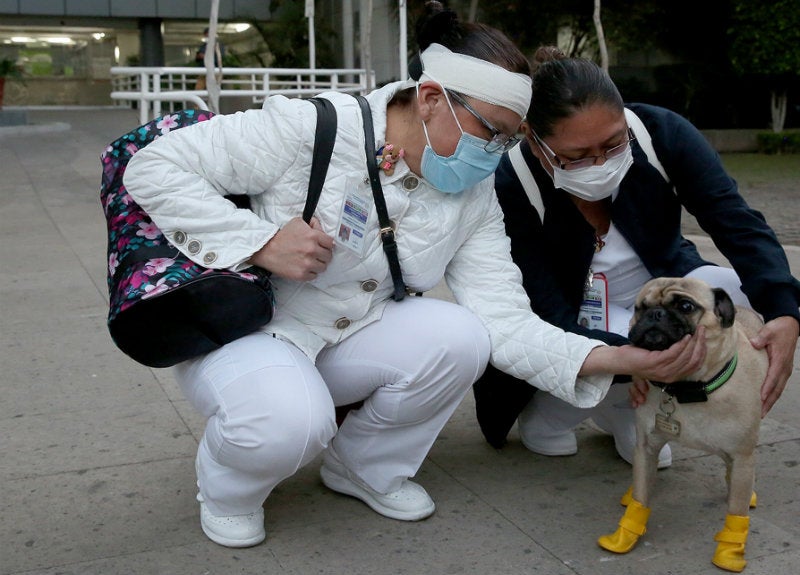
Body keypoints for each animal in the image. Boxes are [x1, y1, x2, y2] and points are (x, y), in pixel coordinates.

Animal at [596, 278, 764, 572]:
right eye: (641, 307)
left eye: (686, 306)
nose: (655, 314)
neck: (686, 388)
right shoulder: (646, 446)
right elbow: (642, 495)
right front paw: (626, 533)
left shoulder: (742, 455)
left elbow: (736, 511)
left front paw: (729, 552)